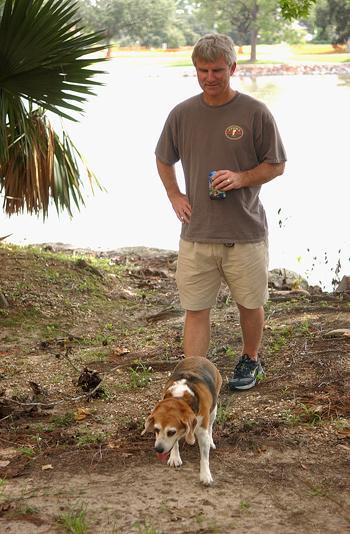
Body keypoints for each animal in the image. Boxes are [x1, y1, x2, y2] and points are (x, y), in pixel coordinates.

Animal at [142, 358, 221, 488]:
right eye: (156, 430)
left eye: (171, 432)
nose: (158, 449)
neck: (180, 398)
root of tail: (200, 358)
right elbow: (175, 443)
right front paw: (174, 457)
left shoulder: (202, 432)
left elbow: (204, 457)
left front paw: (205, 475)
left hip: (213, 410)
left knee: (210, 426)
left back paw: (211, 441)